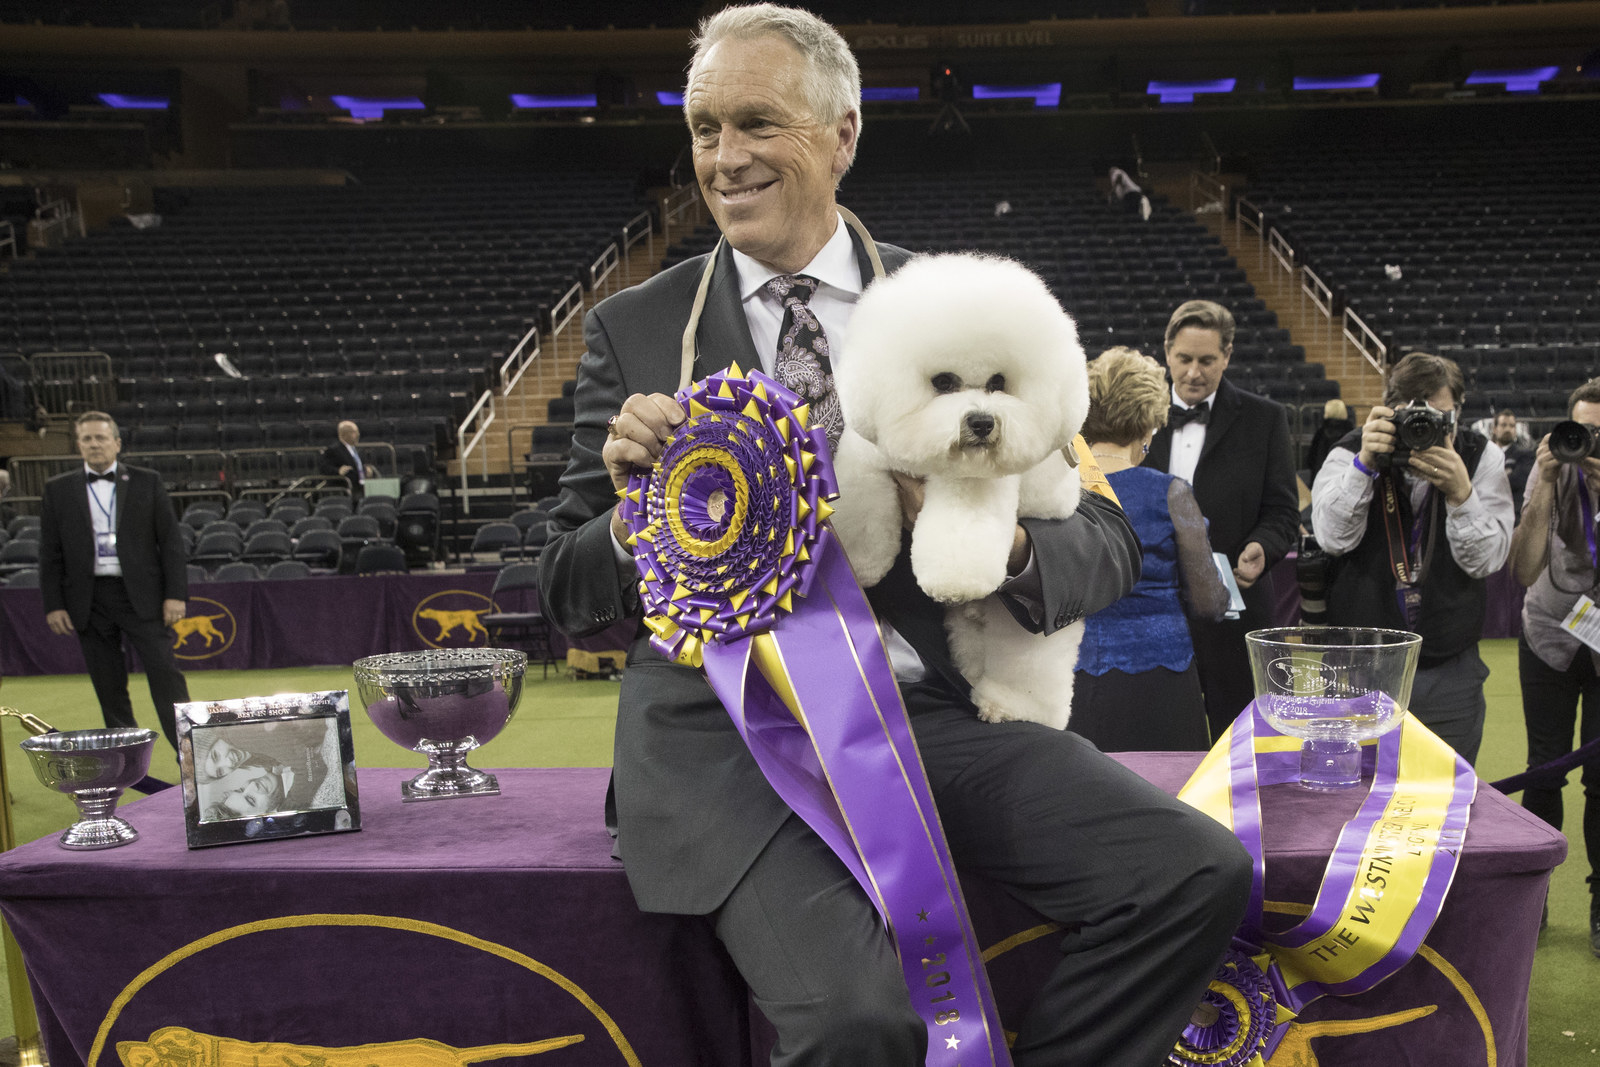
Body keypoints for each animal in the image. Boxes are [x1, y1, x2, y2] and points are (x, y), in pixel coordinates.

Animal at [832, 254, 1094, 729]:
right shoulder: (867, 454)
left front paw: (951, 581)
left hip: (1025, 620)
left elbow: (960, 535)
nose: (982, 422)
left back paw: (1010, 706)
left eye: (998, 382)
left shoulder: (975, 488)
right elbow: (862, 502)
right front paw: (861, 564)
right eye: (943, 382)